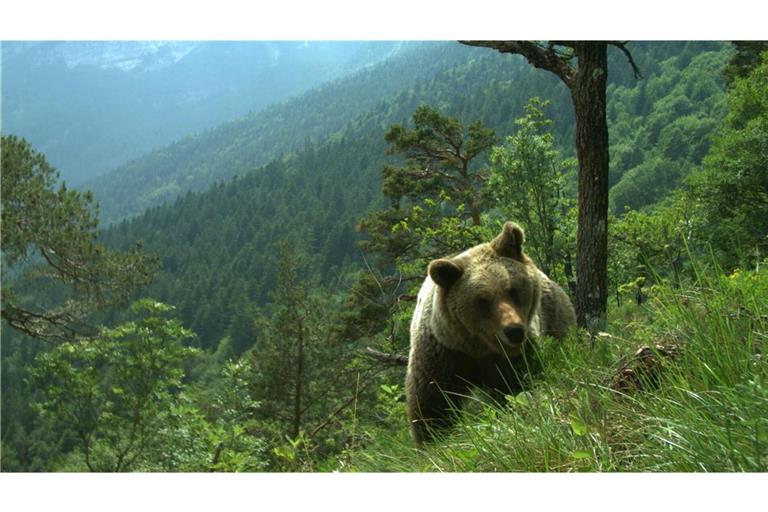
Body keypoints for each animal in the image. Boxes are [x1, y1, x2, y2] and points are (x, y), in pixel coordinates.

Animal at [404, 221, 572, 444]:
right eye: (482, 301)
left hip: (556, 317)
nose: (514, 331)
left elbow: (517, 386)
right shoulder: (443, 353)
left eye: (512, 290)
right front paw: (433, 438)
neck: (478, 346)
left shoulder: (513, 357)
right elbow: (433, 401)